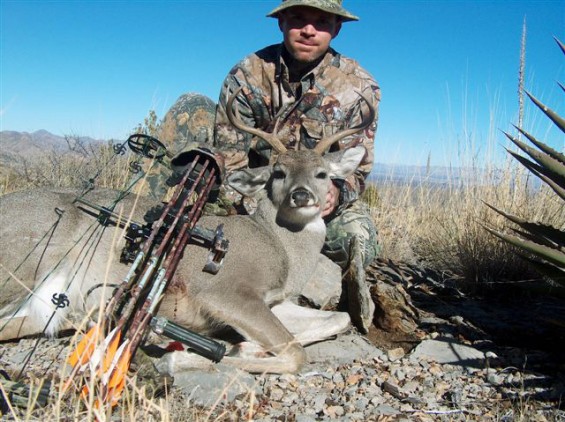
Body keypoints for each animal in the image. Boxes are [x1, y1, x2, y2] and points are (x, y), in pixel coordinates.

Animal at [0, 89, 374, 372]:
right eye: (278, 172)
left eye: (323, 174)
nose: (302, 195)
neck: (280, 248)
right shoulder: (225, 292)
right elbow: (295, 353)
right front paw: (182, 357)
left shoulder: (275, 301)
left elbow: (340, 317)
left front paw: (247, 347)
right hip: (27, 262)